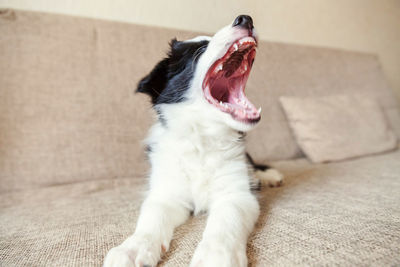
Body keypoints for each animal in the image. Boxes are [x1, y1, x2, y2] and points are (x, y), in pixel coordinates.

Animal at [104, 15, 282, 267]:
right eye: (201, 49)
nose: (245, 18)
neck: (202, 139)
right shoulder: (166, 192)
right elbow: (151, 217)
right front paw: (132, 249)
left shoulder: (236, 194)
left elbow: (226, 220)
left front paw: (217, 255)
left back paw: (269, 175)